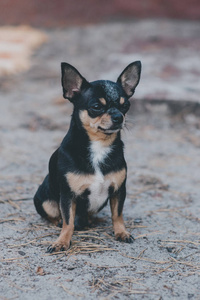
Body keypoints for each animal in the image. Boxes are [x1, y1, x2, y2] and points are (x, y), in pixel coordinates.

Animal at [33, 59, 141, 252]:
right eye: (96, 107)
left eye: (125, 106)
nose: (118, 117)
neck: (99, 146)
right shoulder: (68, 196)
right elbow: (68, 222)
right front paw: (62, 241)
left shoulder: (119, 191)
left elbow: (118, 215)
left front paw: (121, 232)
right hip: (44, 200)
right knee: (55, 215)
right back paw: (60, 221)